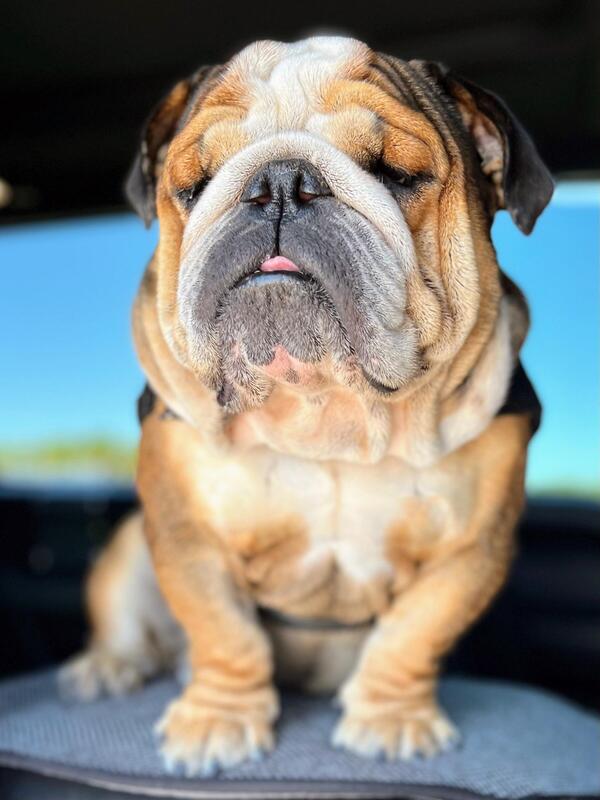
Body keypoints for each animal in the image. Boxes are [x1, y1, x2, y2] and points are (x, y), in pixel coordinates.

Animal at [61, 36, 552, 775]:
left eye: (396, 174)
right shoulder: (186, 532)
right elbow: (222, 628)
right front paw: (218, 721)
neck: (325, 408)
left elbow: (415, 632)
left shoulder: (472, 548)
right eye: (196, 183)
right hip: (124, 551)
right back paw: (108, 667)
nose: (281, 185)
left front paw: (391, 719)